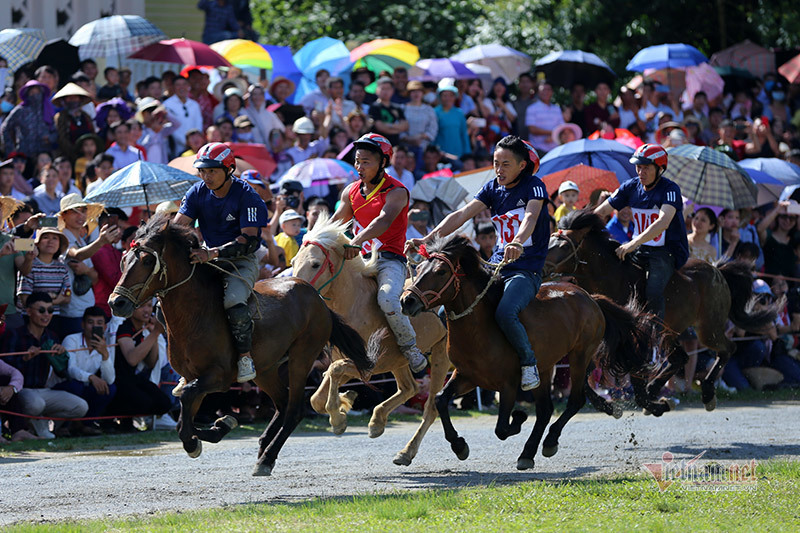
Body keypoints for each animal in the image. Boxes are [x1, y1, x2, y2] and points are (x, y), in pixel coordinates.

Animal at [107, 214, 378, 476]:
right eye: (123, 261)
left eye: (145, 261)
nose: (116, 302)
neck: (196, 314)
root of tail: (316, 296)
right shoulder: (195, 377)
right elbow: (185, 411)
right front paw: (219, 425)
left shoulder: (218, 376)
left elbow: (186, 402)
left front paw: (196, 440)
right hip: (265, 370)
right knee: (282, 403)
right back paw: (263, 444)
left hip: (301, 357)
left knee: (294, 409)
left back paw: (267, 458)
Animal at [290, 215, 450, 466]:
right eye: (294, 260)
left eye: (315, 264)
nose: (297, 288)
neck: (354, 305)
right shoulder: (351, 361)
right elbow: (317, 398)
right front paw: (344, 404)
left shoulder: (372, 364)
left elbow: (334, 372)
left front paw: (339, 417)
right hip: (400, 363)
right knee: (410, 388)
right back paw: (377, 423)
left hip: (441, 355)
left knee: (430, 407)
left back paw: (405, 451)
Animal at [400, 236, 656, 470]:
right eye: (419, 269)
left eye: (441, 271)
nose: (407, 300)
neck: (480, 327)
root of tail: (589, 297)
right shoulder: (468, 376)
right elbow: (441, 400)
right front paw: (459, 445)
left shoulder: (509, 384)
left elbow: (502, 428)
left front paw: (519, 417)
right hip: (544, 367)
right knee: (545, 410)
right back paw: (529, 452)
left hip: (579, 357)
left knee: (574, 401)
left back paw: (549, 441)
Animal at [548, 210, 780, 414]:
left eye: (563, 245)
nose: (542, 266)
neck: (612, 278)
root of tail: (717, 270)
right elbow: (585, 380)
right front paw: (610, 407)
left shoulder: (631, 341)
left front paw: (654, 405)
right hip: (672, 331)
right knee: (682, 357)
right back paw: (657, 389)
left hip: (708, 329)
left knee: (727, 349)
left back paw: (706, 394)